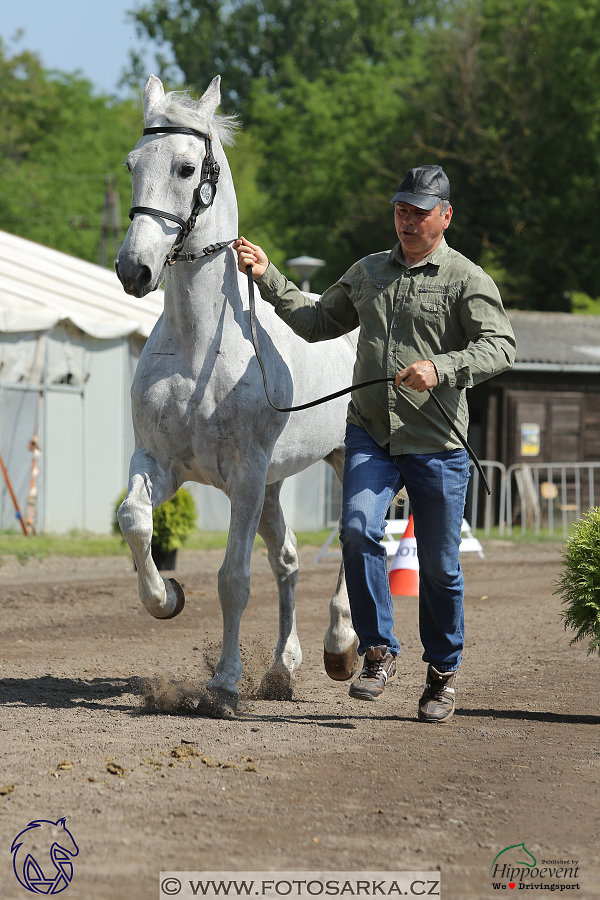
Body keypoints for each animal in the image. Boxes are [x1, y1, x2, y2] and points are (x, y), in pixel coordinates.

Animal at [118, 74, 360, 712]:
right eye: (132, 165)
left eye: (185, 168)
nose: (133, 269)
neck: (202, 347)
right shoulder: (161, 463)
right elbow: (135, 519)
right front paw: (167, 597)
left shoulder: (245, 476)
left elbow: (233, 578)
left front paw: (225, 684)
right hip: (275, 485)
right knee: (288, 560)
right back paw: (282, 667)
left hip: (342, 461)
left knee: (358, 543)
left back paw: (341, 647)